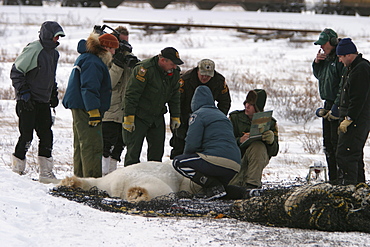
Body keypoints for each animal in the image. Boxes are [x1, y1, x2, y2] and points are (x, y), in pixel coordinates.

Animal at [59, 160, 201, 203]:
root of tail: (119, 184)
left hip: (107, 182)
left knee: (94, 182)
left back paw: (71, 182)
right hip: (153, 181)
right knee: (162, 190)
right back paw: (138, 194)